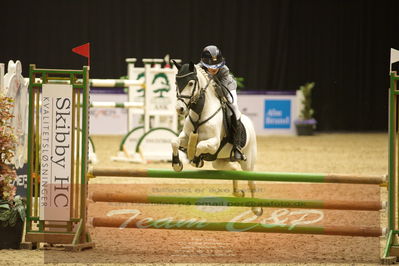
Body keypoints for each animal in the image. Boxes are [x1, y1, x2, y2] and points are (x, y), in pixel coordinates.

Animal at [171, 61, 262, 216]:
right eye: (176, 83)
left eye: (190, 83)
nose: (180, 109)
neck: (200, 113)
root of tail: (248, 123)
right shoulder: (185, 137)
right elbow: (175, 142)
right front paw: (177, 164)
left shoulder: (213, 143)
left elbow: (199, 146)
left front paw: (196, 160)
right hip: (219, 161)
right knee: (234, 170)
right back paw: (238, 192)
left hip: (248, 161)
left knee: (251, 181)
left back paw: (256, 209)